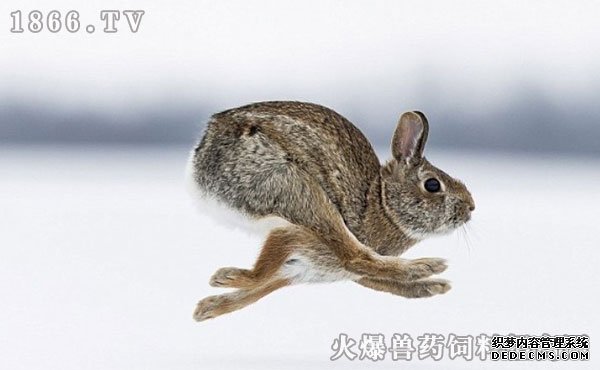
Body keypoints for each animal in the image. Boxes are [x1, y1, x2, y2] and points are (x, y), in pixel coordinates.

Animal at [185, 101, 476, 320]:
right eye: (432, 185)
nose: (471, 207)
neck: (381, 202)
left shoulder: (299, 268)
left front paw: (209, 306)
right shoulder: (293, 236)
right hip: (295, 187)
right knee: (355, 256)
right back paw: (427, 266)